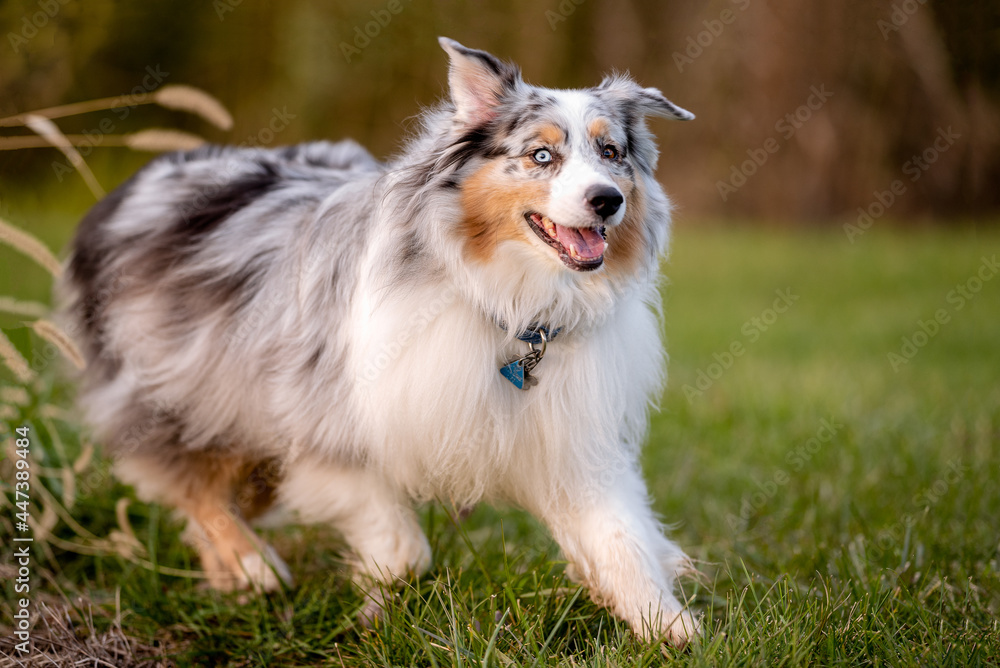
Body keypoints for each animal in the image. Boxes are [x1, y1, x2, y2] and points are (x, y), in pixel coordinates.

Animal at [58, 37, 700, 648]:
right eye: (542, 156)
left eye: (611, 153)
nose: (608, 200)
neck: (511, 305)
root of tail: (144, 177)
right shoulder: (330, 426)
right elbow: (402, 549)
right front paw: (375, 616)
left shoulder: (573, 441)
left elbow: (620, 537)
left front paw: (667, 626)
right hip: (180, 390)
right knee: (191, 485)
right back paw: (254, 568)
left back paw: (230, 578)